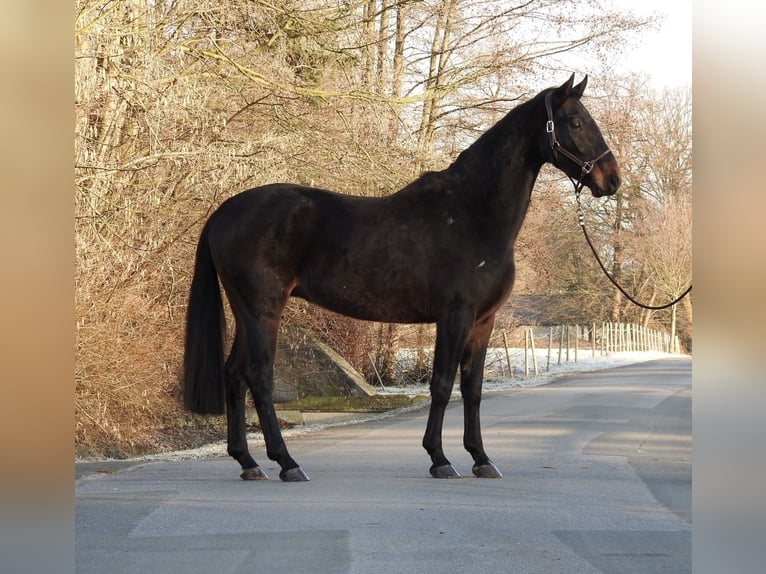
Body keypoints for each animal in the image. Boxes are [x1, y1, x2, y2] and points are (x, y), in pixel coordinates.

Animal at [184, 75, 624, 482]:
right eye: (575, 122)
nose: (612, 179)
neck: (474, 214)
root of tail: (224, 211)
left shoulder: (484, 322)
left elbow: (473, 389)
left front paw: (481, 459)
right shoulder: (455, 316)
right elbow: (442, 384)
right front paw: (440, 459)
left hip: (247, 312)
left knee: (235, 375)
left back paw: (249, 462)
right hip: (264, 310)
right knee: (258, 377)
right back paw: (287, 464)